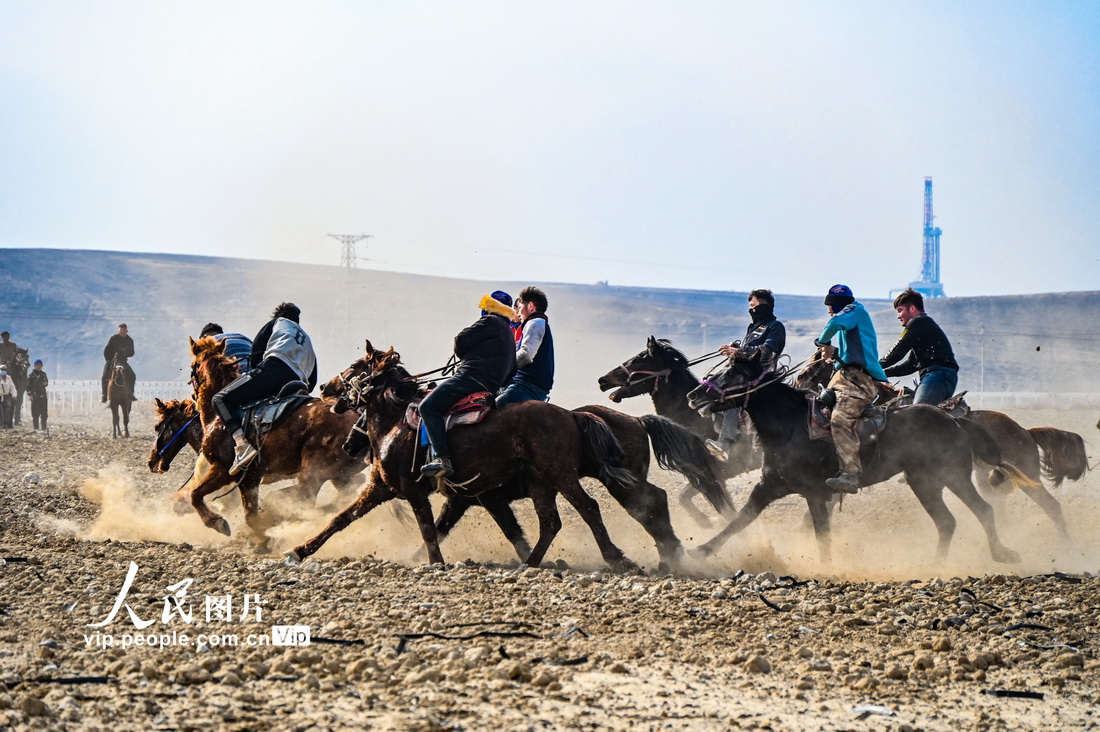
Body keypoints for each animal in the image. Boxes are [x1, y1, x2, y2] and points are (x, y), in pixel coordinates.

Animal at [186, 336, 369, 543]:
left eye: (193, 366)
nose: (193, 396)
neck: (217, 418)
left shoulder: (223, 470)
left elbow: (195, 494)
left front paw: (216, 522)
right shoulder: (250, 478)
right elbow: (250, 515)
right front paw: (263, 539)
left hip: (314, 473)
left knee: (303, 499)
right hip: (339, 475)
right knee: (342, 495)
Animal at [318, 344, 731, 571]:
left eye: (356, 367)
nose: (326, 387)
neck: (401, 422)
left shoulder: (469, 495)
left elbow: (441, 527)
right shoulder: (470, 497)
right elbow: (469, 528)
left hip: (577, 477)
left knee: (601, 508)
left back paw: (636, 556)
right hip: (588, 480)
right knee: (644, 504)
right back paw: (669, 553)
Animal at [597, 336, 756, 520]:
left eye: (638, 359)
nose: (603, 380)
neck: (694, 416)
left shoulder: (716, 473)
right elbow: (685, 498)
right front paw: (708, 521)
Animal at [684, 350, 1027, 565]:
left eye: (734, 372)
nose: (694, 395)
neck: (792, 425)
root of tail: (956, 421)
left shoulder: (814, 493)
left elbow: (822, 535)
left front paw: (826, 568)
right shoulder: (769, 486)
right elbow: (740, 519)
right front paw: (701, 550)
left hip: (952, 476)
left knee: (982, 510)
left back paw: (1002, 554)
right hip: (926, 482)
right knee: (949, 521)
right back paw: (937, 564)